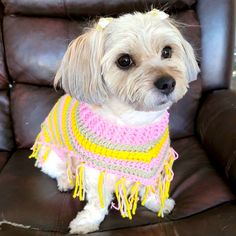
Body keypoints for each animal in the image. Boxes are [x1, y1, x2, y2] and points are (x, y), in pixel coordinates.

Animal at [29, 8, 199, 234]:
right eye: (124, 60)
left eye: (167, 51)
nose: (167, 83)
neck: (134, 120)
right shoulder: (95, 172)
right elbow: (97, 201)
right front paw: (87, 222)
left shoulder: (153, 163)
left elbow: (150, 186)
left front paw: (156, 202)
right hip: (51, 158)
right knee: (59, 171)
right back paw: (67, 180)